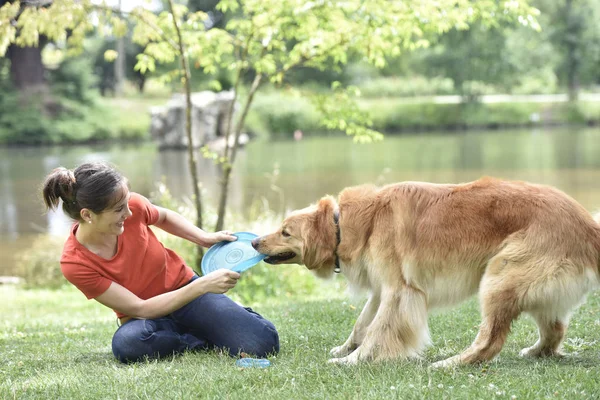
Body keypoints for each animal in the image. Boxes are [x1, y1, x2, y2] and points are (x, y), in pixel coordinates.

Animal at [250, 177, 600, 368]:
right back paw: (537, 351)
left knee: (489, 343)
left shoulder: (399, 291)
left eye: (285, 232)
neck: (348, 223)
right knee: (555, 330)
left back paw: (450, 364)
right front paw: (346, 348)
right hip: (532, 286)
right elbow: (362, 322)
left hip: (498, 277)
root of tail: (588, 224)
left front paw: (353, 360)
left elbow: (377, 331)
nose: (253, 241)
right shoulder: (382, 287)